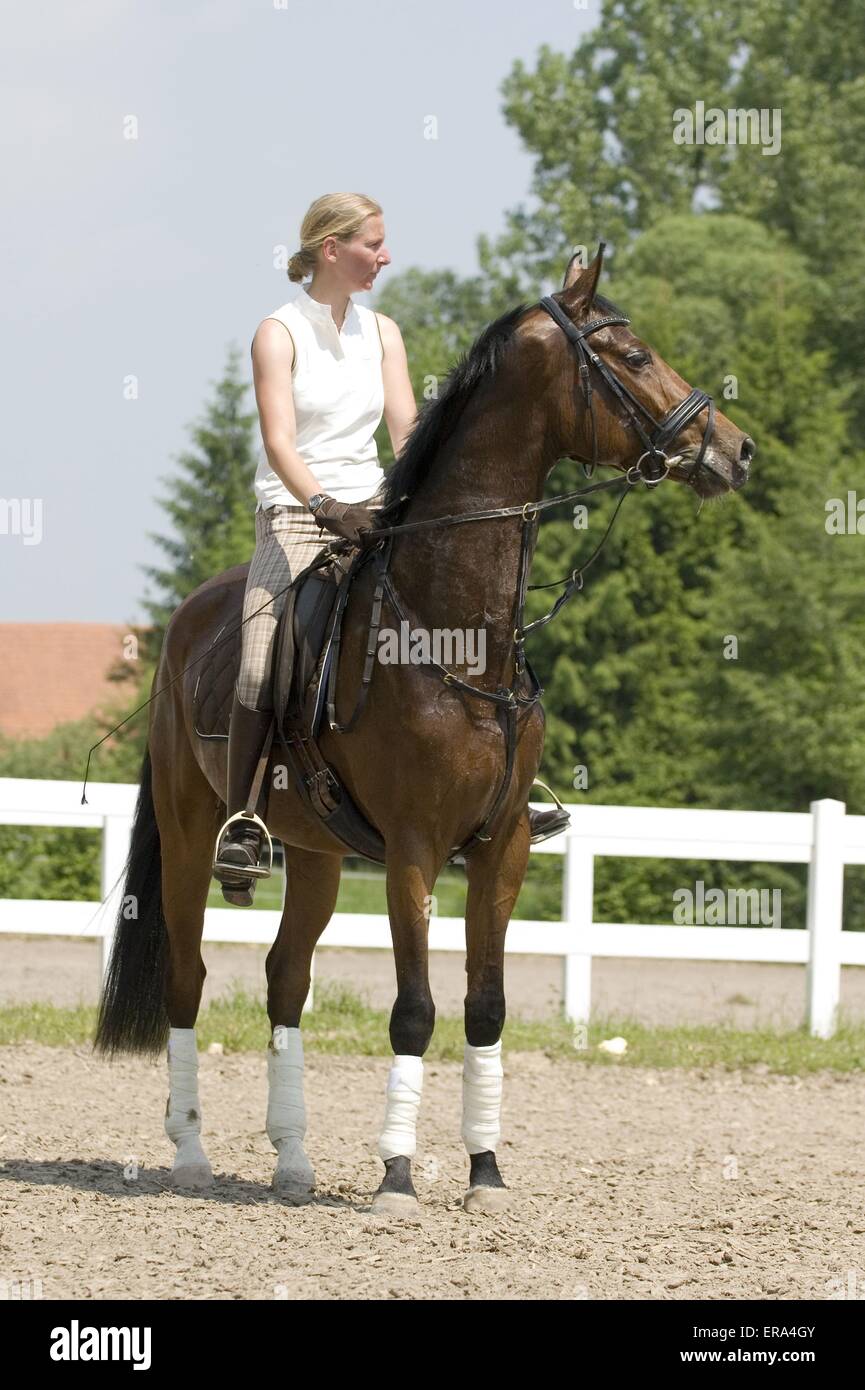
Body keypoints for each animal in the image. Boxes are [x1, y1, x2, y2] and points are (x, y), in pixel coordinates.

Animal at [94, 244, 756, 1212]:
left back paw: (292, 1162)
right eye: (632, 356)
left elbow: (485, 1007)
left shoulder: (501, 845)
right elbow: (414, 1010)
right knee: (188, 980)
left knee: (285, 980)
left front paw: (485, 1171)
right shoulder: (413, 846)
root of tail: (188, 618)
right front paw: (398, 1180)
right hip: (188, 836)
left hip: (319, 855)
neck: (454, 630)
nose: (735, 450)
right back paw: (189, 1154)